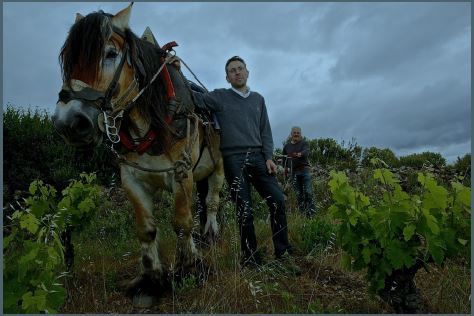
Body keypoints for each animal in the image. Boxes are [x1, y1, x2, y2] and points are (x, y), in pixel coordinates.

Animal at [51, 3, 225, 306]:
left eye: (110, 53)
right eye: (68, 60)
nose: (69, 123)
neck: (152, 123)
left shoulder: (181, 172)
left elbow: (182, 223)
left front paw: (191, 269)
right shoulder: (131, 179)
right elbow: (146, 229)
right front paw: (151, 281)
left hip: (218, 169)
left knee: (212, 201)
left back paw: (210, 234)